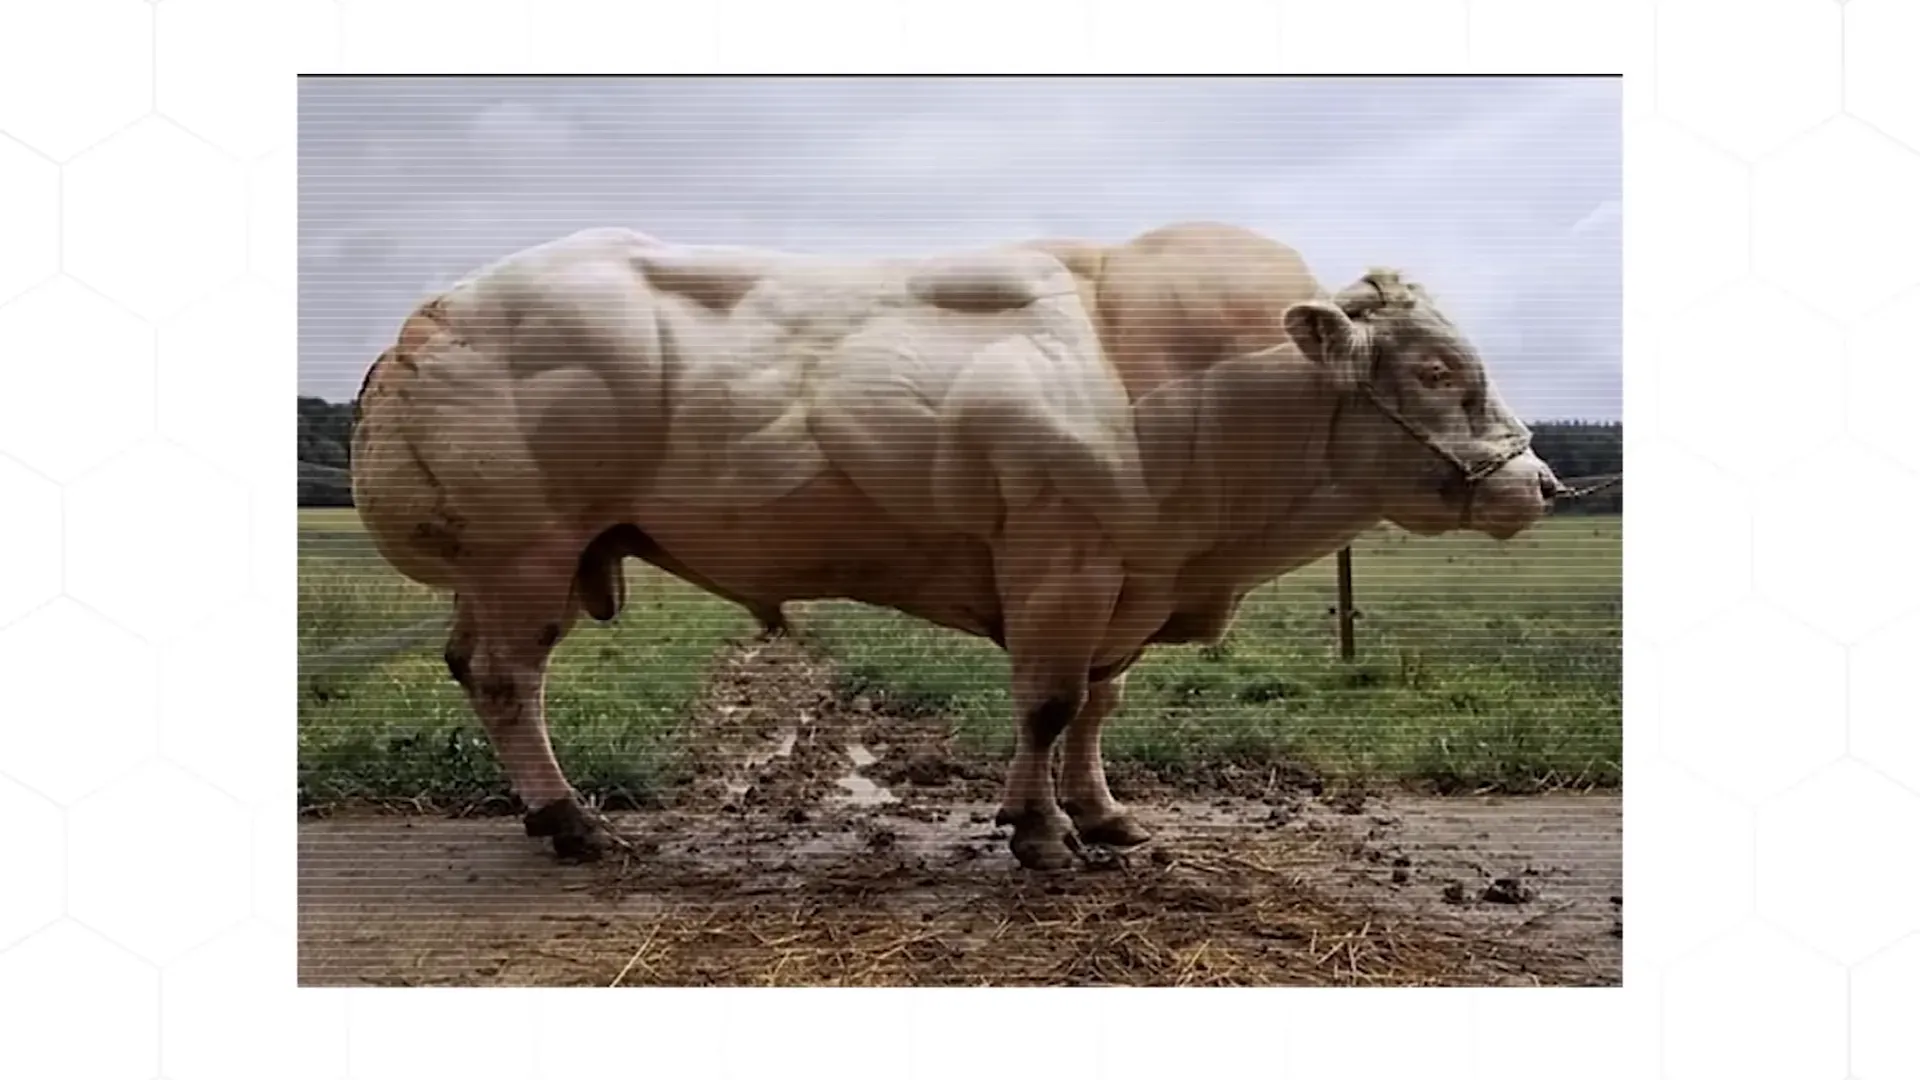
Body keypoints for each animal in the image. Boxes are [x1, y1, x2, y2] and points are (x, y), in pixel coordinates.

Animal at [349, 221, 1568, 872]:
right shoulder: (1062, 562)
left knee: (475, 670)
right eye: (1437, 371)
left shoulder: (1129, 577)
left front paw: (1101, 815)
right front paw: (1038, 833)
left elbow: (1096, 707)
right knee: (507, 682)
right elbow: (1047, 703)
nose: (1542, 484)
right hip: (523, 552)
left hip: (524, 564)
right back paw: (570, 822)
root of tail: (436, 309)